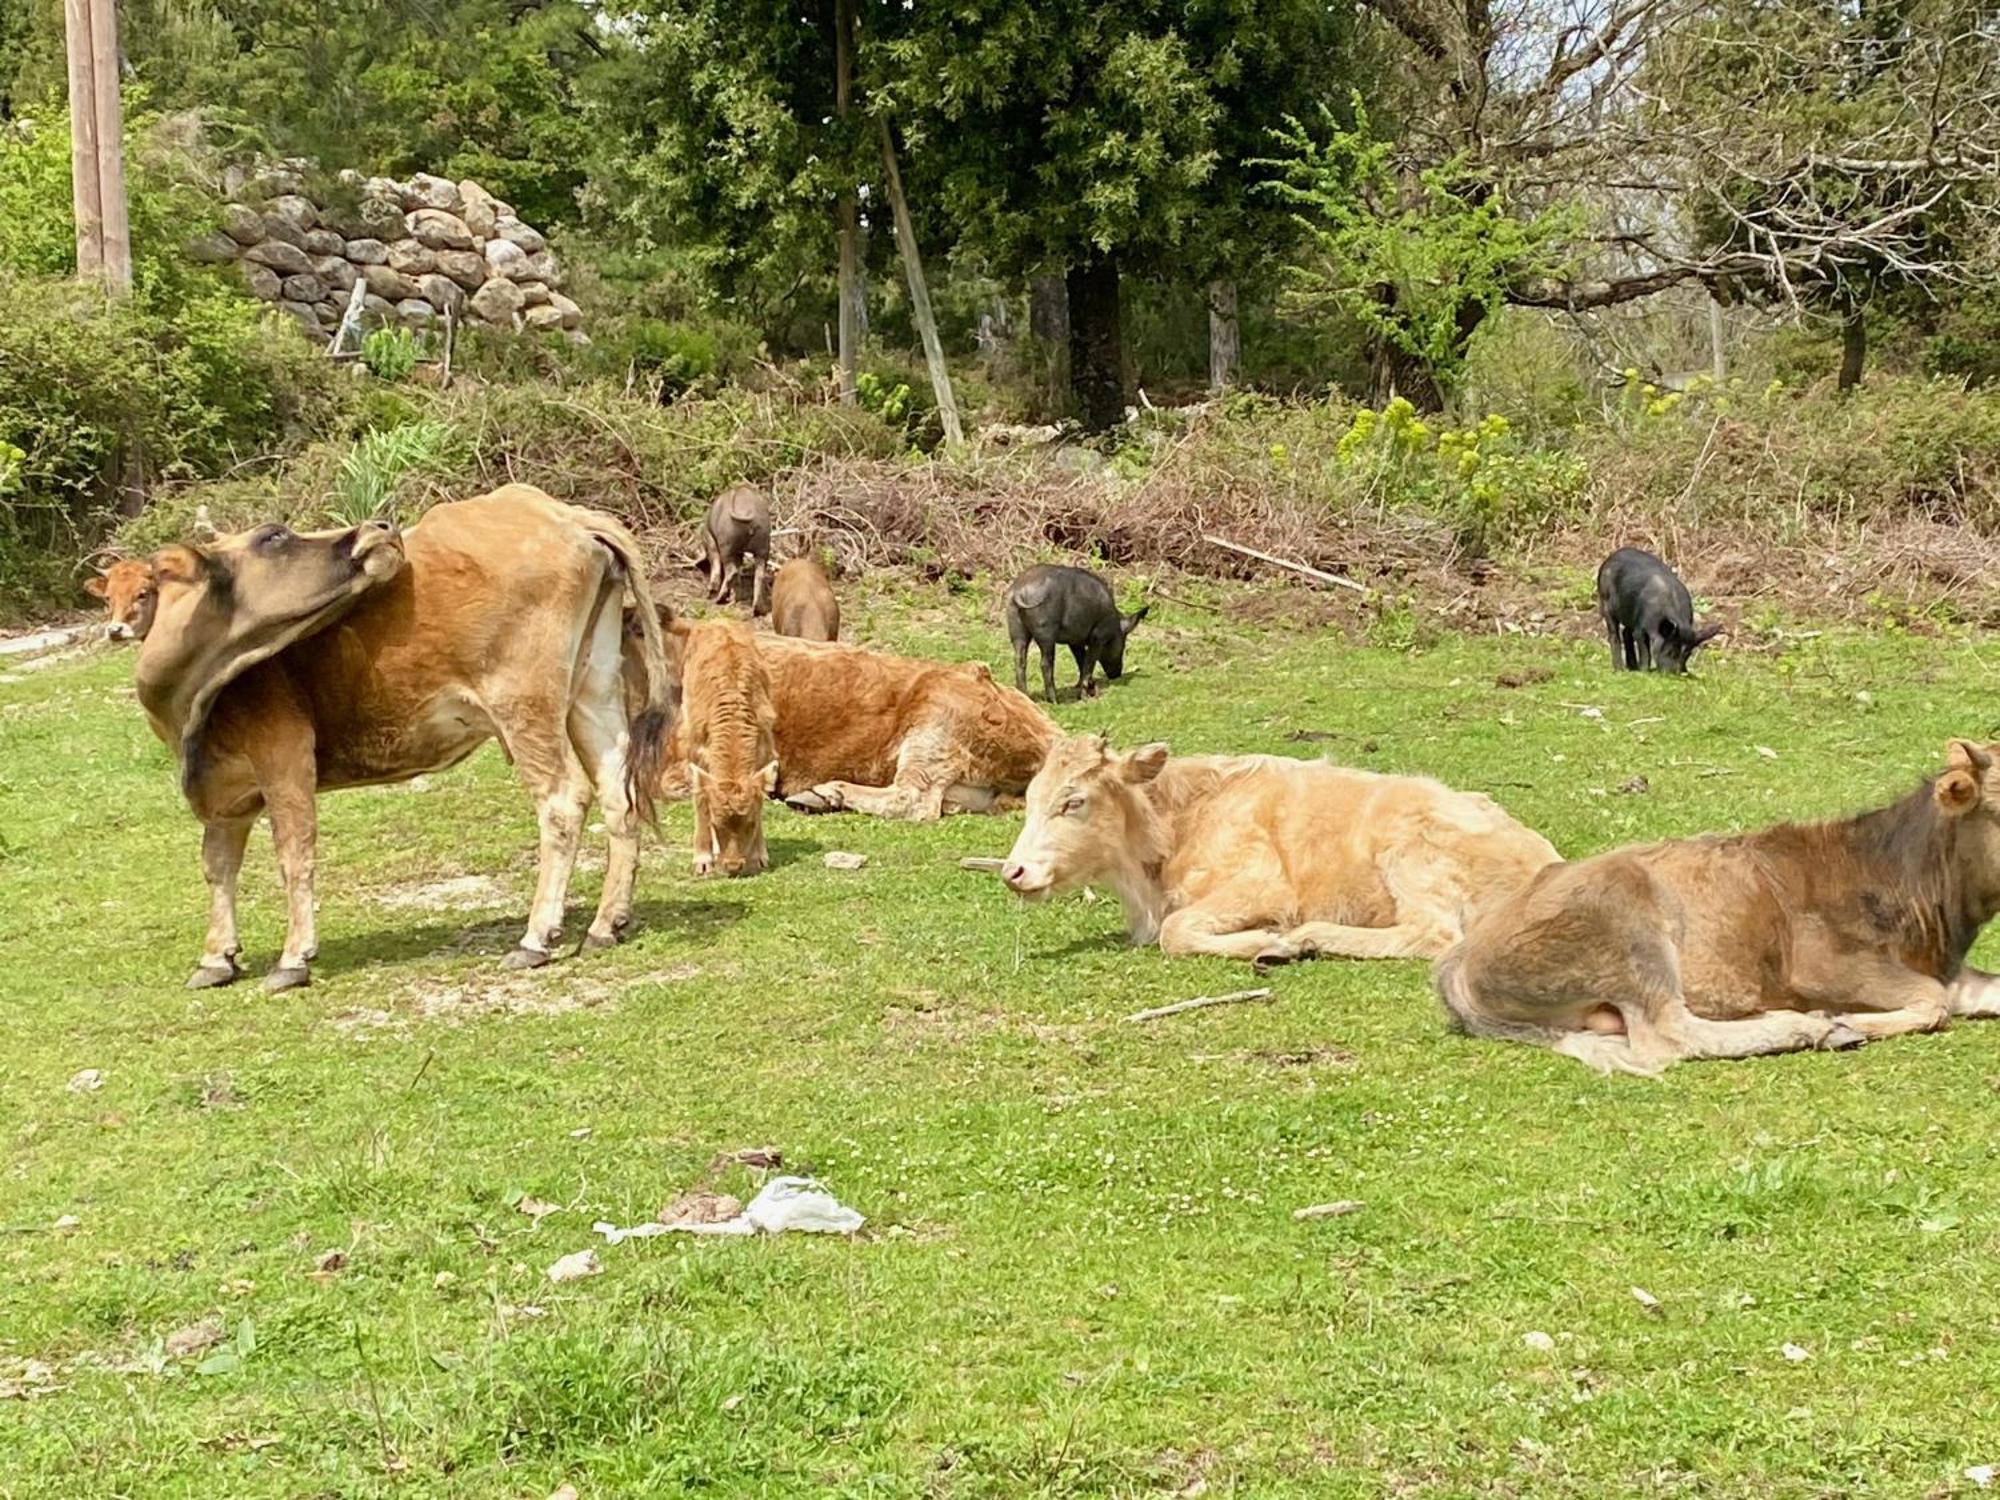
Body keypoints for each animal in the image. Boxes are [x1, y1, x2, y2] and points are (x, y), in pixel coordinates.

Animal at [139, 488, 680, 992]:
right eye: (273, 536)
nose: (378, 527)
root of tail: (561, 513)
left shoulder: (283, 756)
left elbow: (293, 854)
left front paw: (292, 959)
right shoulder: (225, 796)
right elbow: (217, 865)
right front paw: (216, 957)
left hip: (525, 703)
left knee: (563, 800)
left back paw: (536, 937)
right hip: (592, 690)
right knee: (618, 794)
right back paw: (606, 925)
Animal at [664, 616, 772, 880]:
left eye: (751, 823)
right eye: (716, 823)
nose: (733, 866)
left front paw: (759, 856)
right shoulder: (697, 755)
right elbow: (701, 801)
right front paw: (702, 860)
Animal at [1000, 736, 1560, 968]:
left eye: (1074, 801)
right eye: (1030, 798)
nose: (1014, 871)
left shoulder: (1262, 884)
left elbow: (1176, 932)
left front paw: (1271, 941)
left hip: (1411, 855)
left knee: (1432, 934)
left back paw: (1310, 937)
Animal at [1440, 744, 2000, 1072]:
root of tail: (1459, 959)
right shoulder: (1820, 964)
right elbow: (1932, 1001)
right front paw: (1846, 1020)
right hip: (1628, 926)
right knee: (1670, 1034)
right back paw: (1811, 1027)